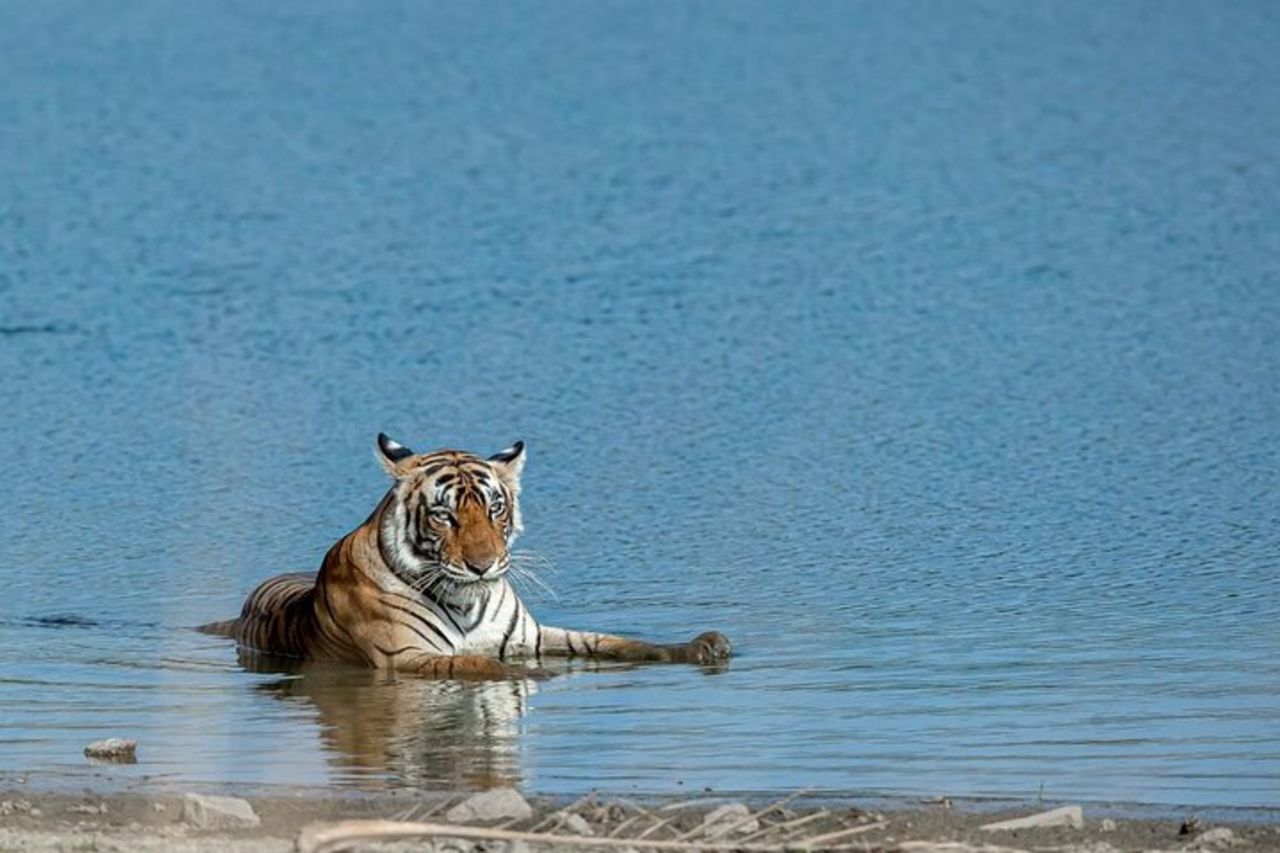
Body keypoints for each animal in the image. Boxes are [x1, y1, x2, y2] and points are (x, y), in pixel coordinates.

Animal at [200, 433, 732, 678]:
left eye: (495, 508)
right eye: (445, 516)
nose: (483, 565)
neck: (466, 598)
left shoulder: (533, 636)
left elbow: (616, 643)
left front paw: (701, 646)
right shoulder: (406, 656)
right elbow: (480, 666)